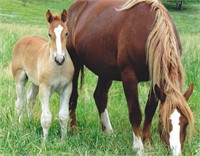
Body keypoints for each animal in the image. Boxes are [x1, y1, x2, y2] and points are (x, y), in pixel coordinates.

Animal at [10, 9, 74, 140]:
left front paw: (63, 140)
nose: (59, 59)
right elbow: (46, 117)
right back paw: (20, 124)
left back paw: (29, 121)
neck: (58, 68)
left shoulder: (67, 88)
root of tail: (24, 38)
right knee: (20, 102)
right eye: (49, 34)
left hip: (35, 82)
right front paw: (44, 141)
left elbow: (63, 115)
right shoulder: (45, 88)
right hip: (20, 78)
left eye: (66, 33)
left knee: (31, 98)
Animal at [67, 0, 194, 155]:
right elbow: (135, 113)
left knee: (100, 96)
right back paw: (73, 130)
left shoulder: (155, 76)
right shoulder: (129, 76)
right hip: (74, 62)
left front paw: (147, 141)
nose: (176, 151)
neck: (151, 31)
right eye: (162, 121)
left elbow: (150, 109)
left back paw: (108, 131)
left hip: (105, 70)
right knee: (73, 96)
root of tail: (73, 9)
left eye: (186, 123)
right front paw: (139, 147)